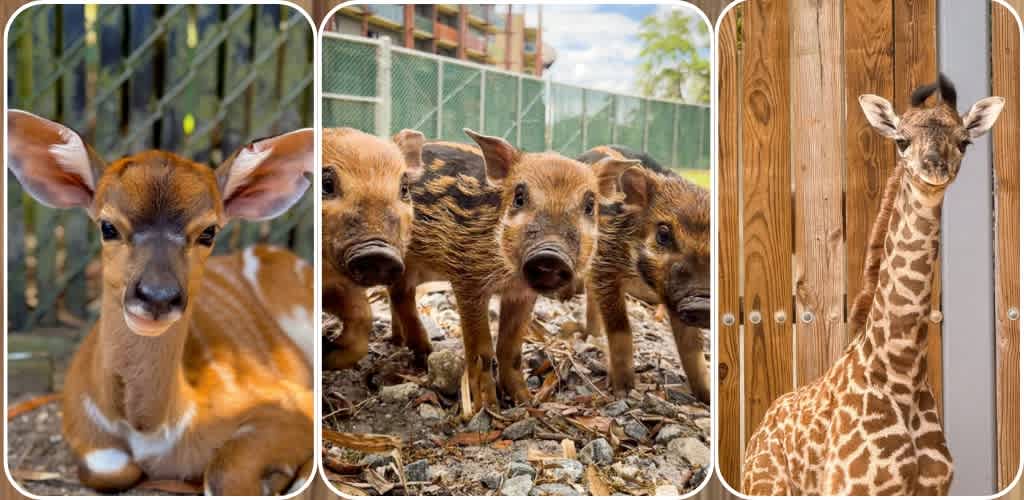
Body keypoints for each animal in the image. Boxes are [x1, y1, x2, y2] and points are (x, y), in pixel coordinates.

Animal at [7, 110, 315, 495]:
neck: (153, 429)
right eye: (108, 226)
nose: (157, 297)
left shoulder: (288, 400)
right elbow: (111, 470)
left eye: (208, 232)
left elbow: (224, 473)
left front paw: (278, 476)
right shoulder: (86, 431)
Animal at [741, 74, 1005, 496]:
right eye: (901, 140)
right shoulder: (851, 487)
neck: (901, 368)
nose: (935, 168)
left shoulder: (933, 489)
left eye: (964, 141)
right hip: (767, 486)